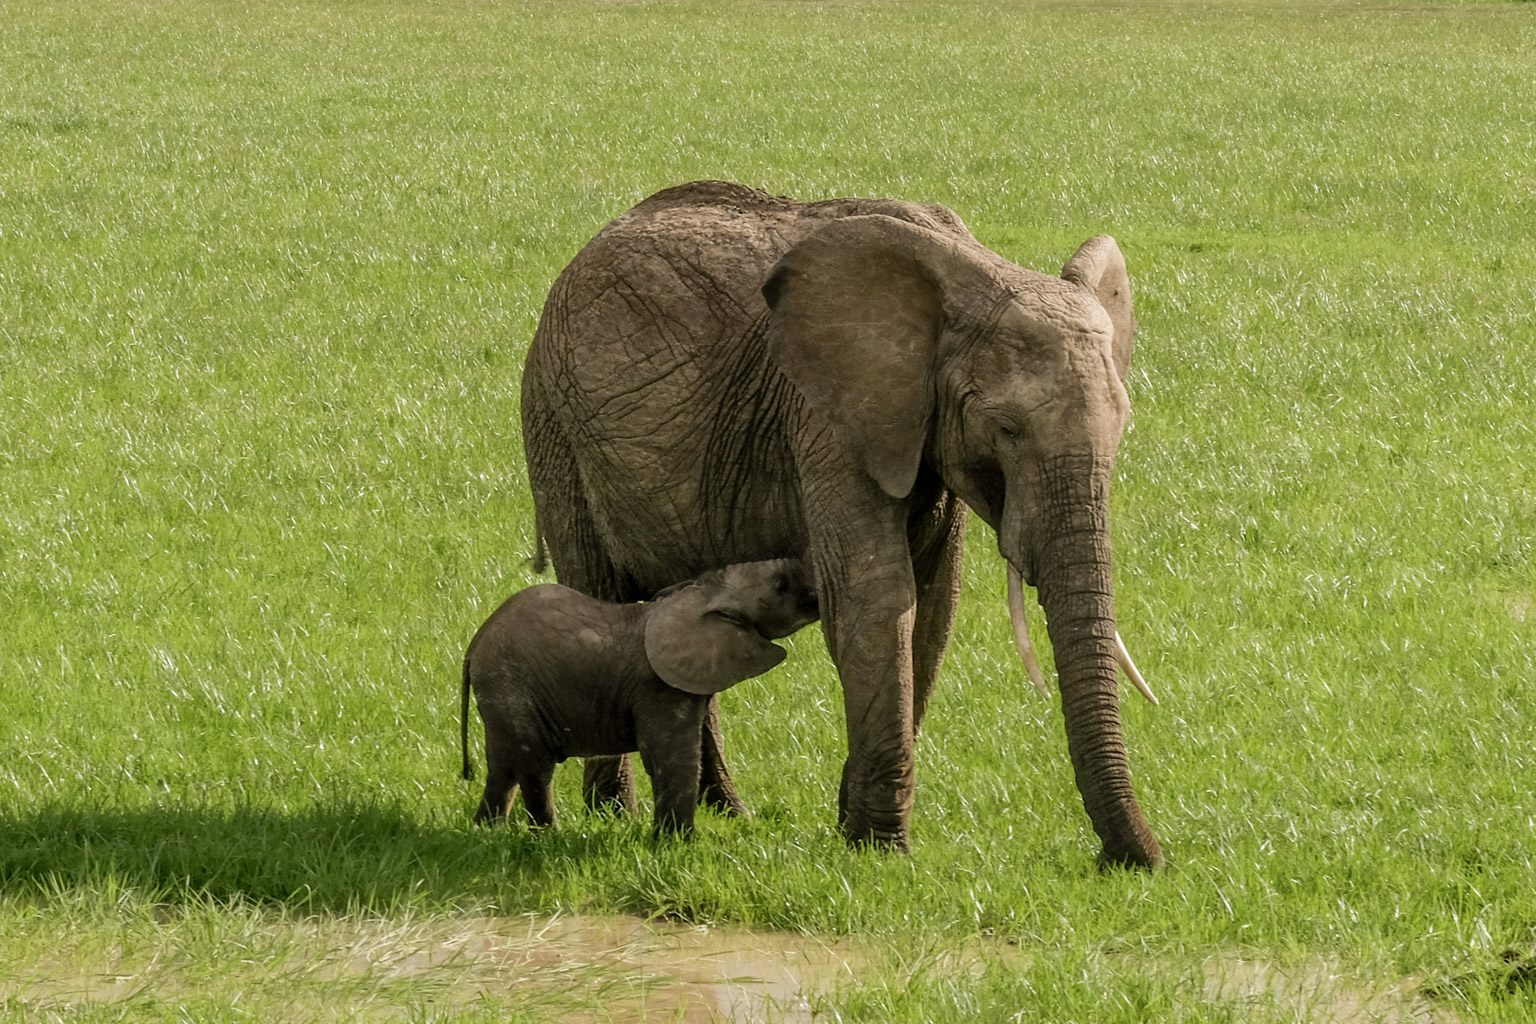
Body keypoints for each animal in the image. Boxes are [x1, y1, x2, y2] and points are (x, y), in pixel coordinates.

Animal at [460, 558, 819, 834]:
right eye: (781, 585)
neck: (697, 593)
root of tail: (474, 645)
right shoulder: (658, 687)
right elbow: (669, 752)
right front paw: (676, 843)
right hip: (511, 684)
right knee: (534, 764)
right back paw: (548, 837)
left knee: (504, 766)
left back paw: (486, 832)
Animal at [520, 180, 1164, 868]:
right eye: (1007, 430)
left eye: (1122, 425)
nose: (1134, 863)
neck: (974, 275)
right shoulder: (825, 417)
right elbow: (875, 596)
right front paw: (880, 848)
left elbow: (934, 606)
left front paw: (851, 828)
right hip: (555, 426)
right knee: (600, 595)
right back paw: (614, 814)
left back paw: (727, 812)